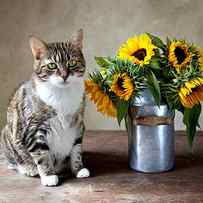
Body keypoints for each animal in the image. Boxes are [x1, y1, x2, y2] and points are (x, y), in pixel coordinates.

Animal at [0, 29, 89, 186]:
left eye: (72, 63)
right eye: (52, 65)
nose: (64, 75)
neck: (62, 94)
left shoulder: (78, 123)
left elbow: (76, 148)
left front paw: (78, 169)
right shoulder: (34, 129)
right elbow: (42, 154)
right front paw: (48, 176)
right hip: (7, 135)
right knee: (13, 160)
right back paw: (28, 168)